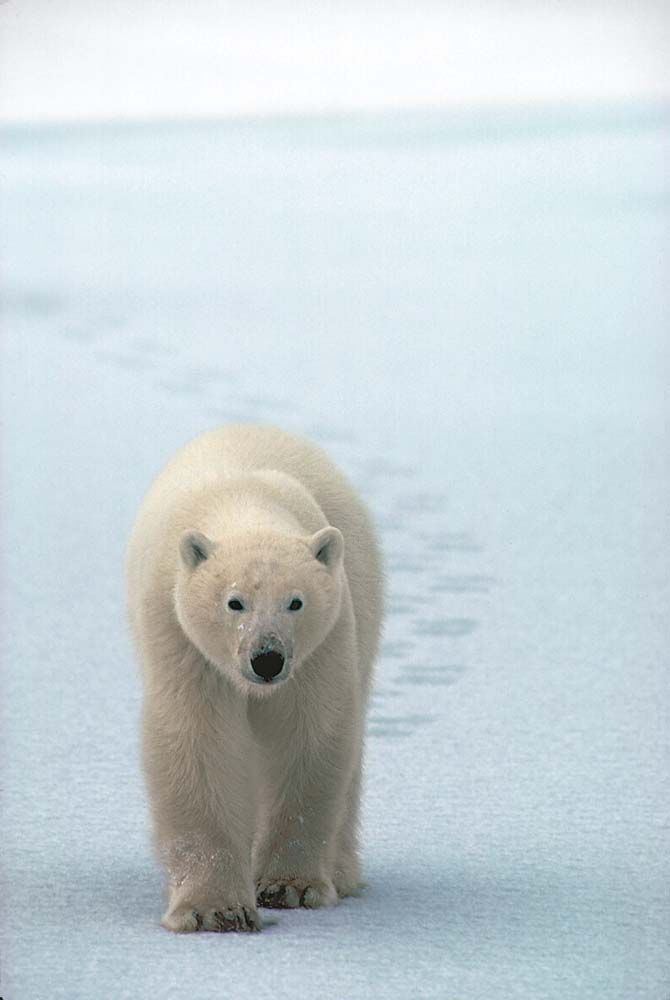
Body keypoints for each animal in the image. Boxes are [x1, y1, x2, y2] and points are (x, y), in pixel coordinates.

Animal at [126, 423, 385, 932]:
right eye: (234, 602)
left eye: (296, 601)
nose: (267, 659)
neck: (241, 500)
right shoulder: (182, 637)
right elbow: (198, 743)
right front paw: (215, 910)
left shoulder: (321, 646)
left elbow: (306, 737)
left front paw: (289, 887)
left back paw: (342, 873)